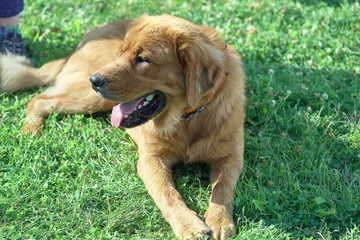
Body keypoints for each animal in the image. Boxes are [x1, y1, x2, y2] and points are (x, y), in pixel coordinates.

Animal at [0, 15, 245, 240]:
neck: (186, 121)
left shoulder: (231, 155)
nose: (94, 80)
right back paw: (30, 133)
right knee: (39, 99)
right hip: (92, 99)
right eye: (121, 52)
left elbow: (222, 188)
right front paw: (189, 226)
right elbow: (168, 195)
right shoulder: (150, 159)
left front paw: (220, 220)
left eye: (142, 59)